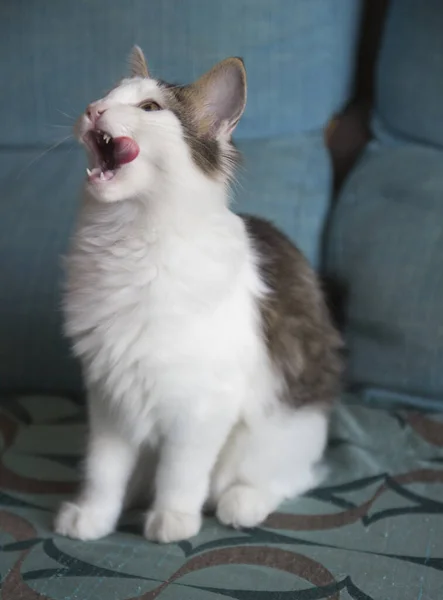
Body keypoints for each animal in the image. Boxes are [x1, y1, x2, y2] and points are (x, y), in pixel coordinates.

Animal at [53, 47, 342, 544]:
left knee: (284, 477)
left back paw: (241, 503)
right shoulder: (109, 395)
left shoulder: (201, 407)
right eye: (106, 96)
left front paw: (172, 520)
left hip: (271, 434)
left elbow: (181, 472)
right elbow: (104, 470)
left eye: (149, 108)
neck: (128, 238)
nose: (93, 109)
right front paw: (94, 517)